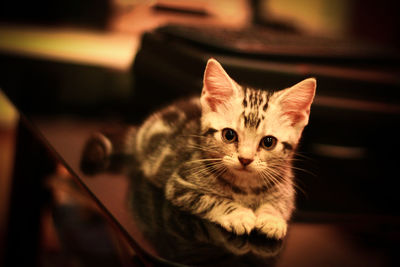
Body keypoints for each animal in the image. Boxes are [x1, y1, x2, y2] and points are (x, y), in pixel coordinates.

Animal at [81, 58, 316, 241]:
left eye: (268, 142)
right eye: (229, 135)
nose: (245, 159)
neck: (246, 188)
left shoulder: (287, 190)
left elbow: (279, 203)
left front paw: (271, 218)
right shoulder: (180, 185)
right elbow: (212, 200)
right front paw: (239, 214)